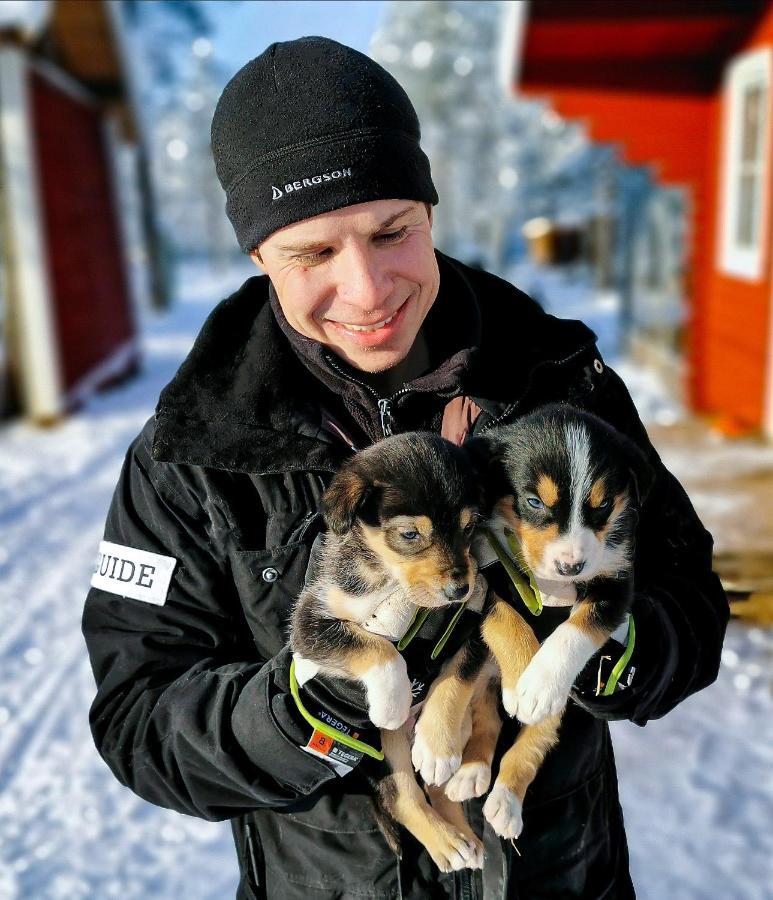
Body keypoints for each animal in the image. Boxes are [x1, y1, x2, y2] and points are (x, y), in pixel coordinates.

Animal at [286, 432, 486, 876]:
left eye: (469, 526)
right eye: (410, 535)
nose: (459, 590)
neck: (387, 577)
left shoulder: (477, 619)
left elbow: (456, 679)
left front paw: (436, 746)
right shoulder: (310, 623)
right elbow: (376, 647)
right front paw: (393, 702)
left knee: (440, 788)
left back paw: (463, 833)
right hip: (380, 750)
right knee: (403, 796)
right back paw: (448, 843)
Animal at [410, 404, 652, 840]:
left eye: (604, 504)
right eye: (534, 501)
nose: (571, 566)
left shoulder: (615, 582)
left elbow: (575, 631)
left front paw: (537, 684)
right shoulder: (484, 575)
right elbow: (508, 622)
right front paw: (522, 677)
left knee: (531, 744)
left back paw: (505, 802)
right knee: (487, 719)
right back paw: (470, 772)